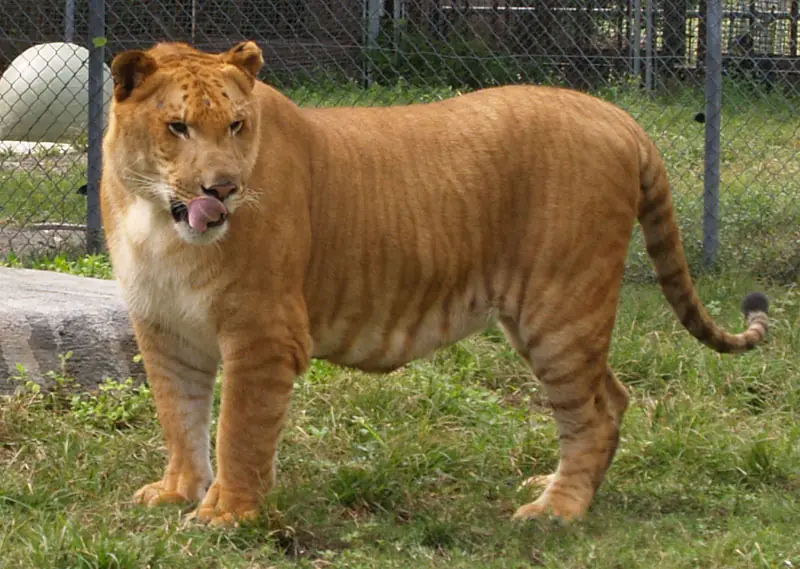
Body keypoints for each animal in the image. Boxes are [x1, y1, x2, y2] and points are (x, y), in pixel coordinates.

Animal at [100, 41, 769, 526]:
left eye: (237, 126)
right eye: (178, 127)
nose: (223, 189)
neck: (158, 222)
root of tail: (618, 116)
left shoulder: (264, 333)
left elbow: (239, 429)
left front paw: (228, 516)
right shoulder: (163, 328)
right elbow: (179, 417)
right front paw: (178, 492)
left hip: (560, 308)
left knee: (597, 412)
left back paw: (555, 510)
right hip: (552, 316)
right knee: (614, 396)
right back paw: (557, 486)